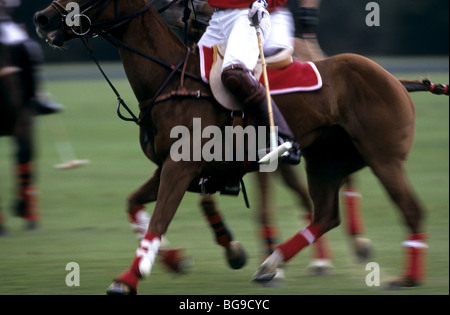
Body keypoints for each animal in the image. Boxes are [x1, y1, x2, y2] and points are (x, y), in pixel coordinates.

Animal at [35, 0, 450, 296]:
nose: (42, 18)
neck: (171, 78)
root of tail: (395, 78)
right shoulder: (168, 166)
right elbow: (134, 206)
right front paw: (174, 261)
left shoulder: (181, 167)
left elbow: (158, 220)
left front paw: (127, 279)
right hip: (326, 160)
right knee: (325, 214)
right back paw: (271, 264)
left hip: (383, 156)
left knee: (410, 210)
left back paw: (405, 278)